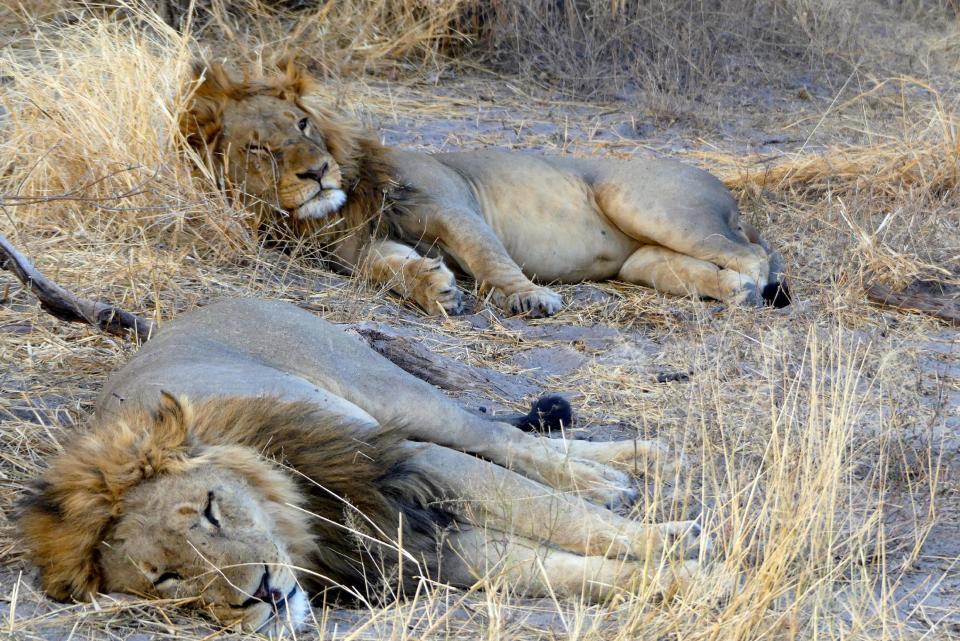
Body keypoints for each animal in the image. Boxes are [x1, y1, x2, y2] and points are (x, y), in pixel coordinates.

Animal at [16, 298, 704, 632]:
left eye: (210, 511)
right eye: (166, 578)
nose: (260, 595)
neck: (306, 525)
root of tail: (208, 304)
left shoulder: (402, 467)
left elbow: (562, 517)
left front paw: (675, 545)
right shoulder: (411, 545)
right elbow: (560, 570)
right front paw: (683, 582)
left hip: (395, 397)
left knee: (502, 440)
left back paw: (620, 471)